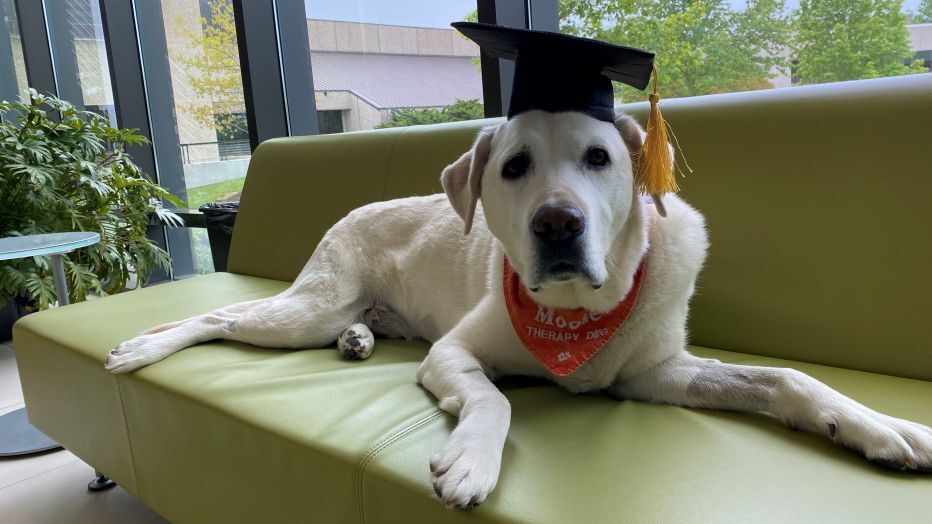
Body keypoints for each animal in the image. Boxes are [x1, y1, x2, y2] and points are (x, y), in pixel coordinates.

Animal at [107, 110, 932, 508]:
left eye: (600, 158)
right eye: (513, 167)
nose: (557, 224)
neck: (576, 308)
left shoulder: (655, 373)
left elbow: (786, 378)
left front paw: (878, 425)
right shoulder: (454, 353)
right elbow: (495, 401)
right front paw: (471, 461)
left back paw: (359, 341)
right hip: (306, 309)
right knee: (217, 320)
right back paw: (140, 348)